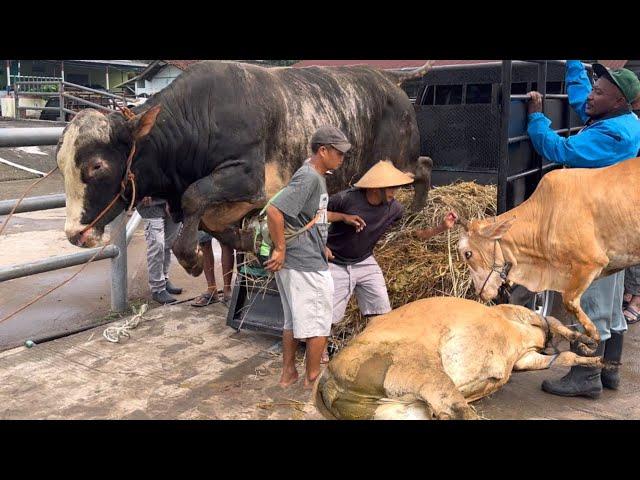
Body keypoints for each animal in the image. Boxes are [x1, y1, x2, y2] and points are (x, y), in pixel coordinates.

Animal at [57, 62, 432, 276]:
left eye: (96, 165)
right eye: (61, 166)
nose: (74, 233)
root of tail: (387, 78)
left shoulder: (248, 178)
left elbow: (195, 197)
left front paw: (192, 260)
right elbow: (213, 225)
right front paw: (249, 241)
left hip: (395, 162)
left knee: (424, 167)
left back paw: (416, 213)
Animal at [312, 296, 604, 420]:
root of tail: (328, 378)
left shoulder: (523, 357)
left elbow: (563, 355)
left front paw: (595, 357)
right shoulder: (515, 313)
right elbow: (554, 324)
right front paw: (590, 343)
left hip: (393, 410)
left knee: (445, 412)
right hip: (420, 367)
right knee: (458, 409)